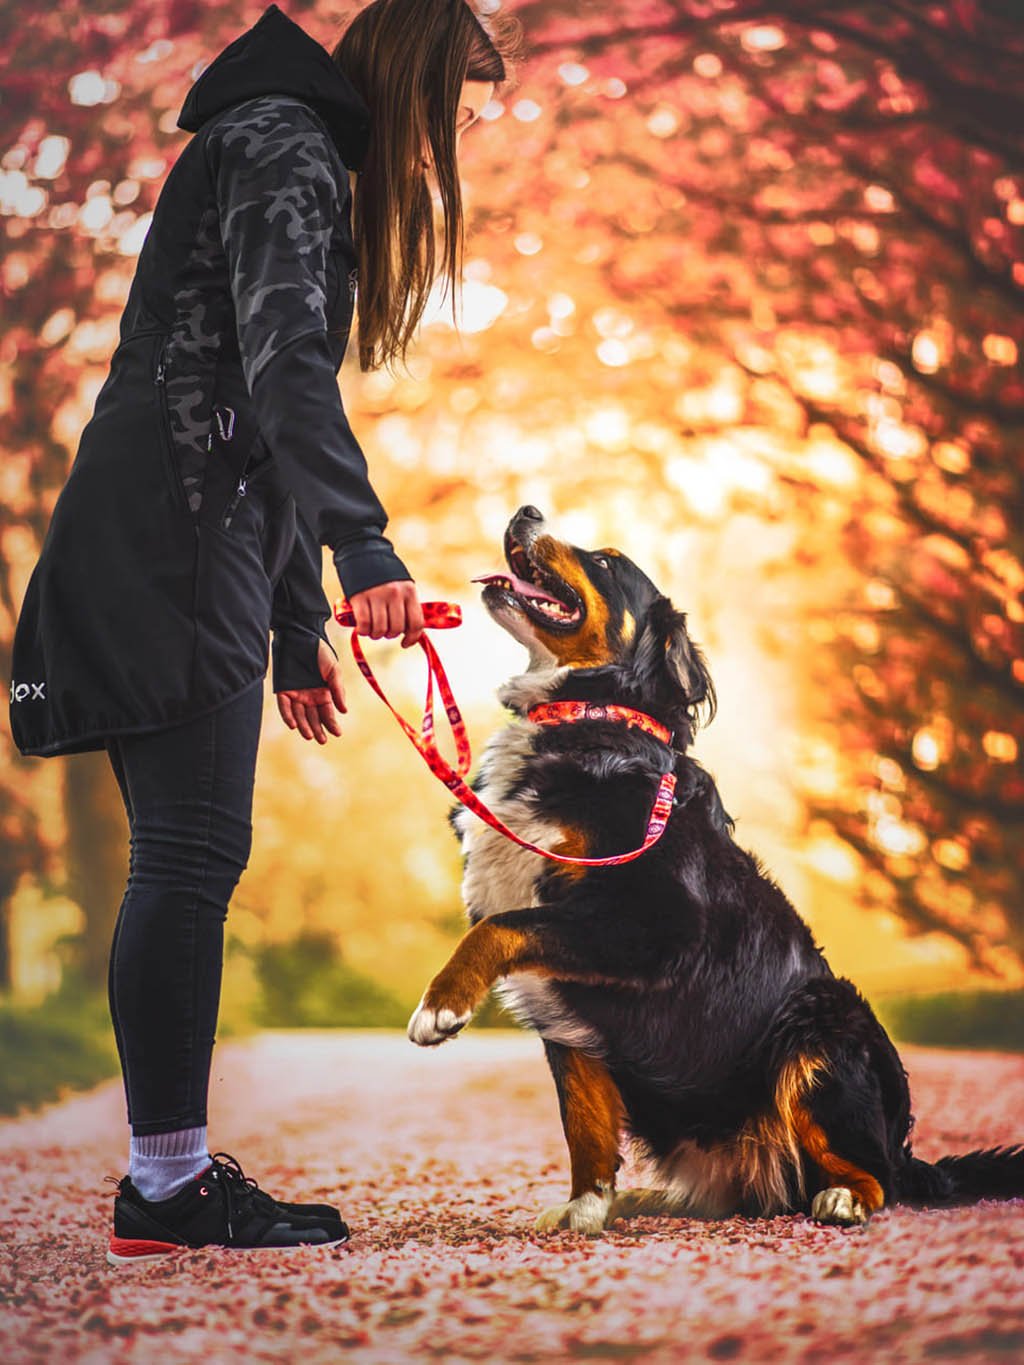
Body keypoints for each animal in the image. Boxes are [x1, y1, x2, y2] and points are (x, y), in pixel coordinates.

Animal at [409, 507, 1024, 1233]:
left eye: (606, 561)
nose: (525, 512)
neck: (589, 719)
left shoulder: (652, 925)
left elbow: (499, 927)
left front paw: (440, 1005)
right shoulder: (567, 1004)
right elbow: (584, 1123)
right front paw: (585, 1209)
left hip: (822, 1023)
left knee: (878, 1175)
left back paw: (844, 1197)